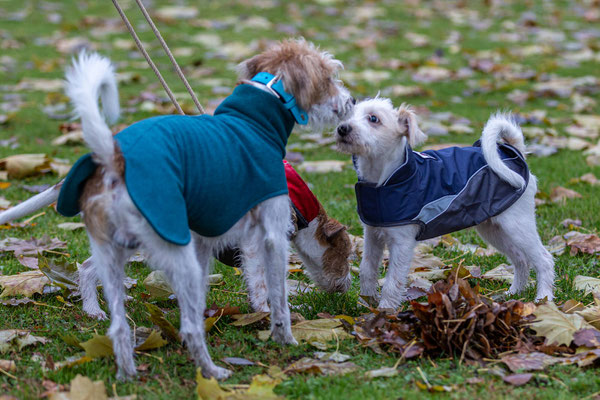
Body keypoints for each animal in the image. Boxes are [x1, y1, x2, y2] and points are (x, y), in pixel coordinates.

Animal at [52, 39, 352, 380]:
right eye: (329, 76)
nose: (351, 101)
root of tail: (114, 162)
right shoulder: (268, 238)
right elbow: (276, 294)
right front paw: (281, 333)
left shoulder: (209, 243)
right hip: (173, 251)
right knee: (190, 328)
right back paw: (212, 372)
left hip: (121, 249)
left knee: (115, 319)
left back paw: (122, 364)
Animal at [332, 97, 552, 310]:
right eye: (348, 115)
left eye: (373, 119)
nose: (342, 128)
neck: (383, 181)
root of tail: (514, 152)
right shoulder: (372, 234)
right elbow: (367, 269)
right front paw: (365, 302)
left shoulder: (402, 242)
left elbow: (392, 280)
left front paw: (385, 311)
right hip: (493, 228)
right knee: (521, 259)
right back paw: (514, 293)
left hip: (517, 225)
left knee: (544, 259)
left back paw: (544, 299)